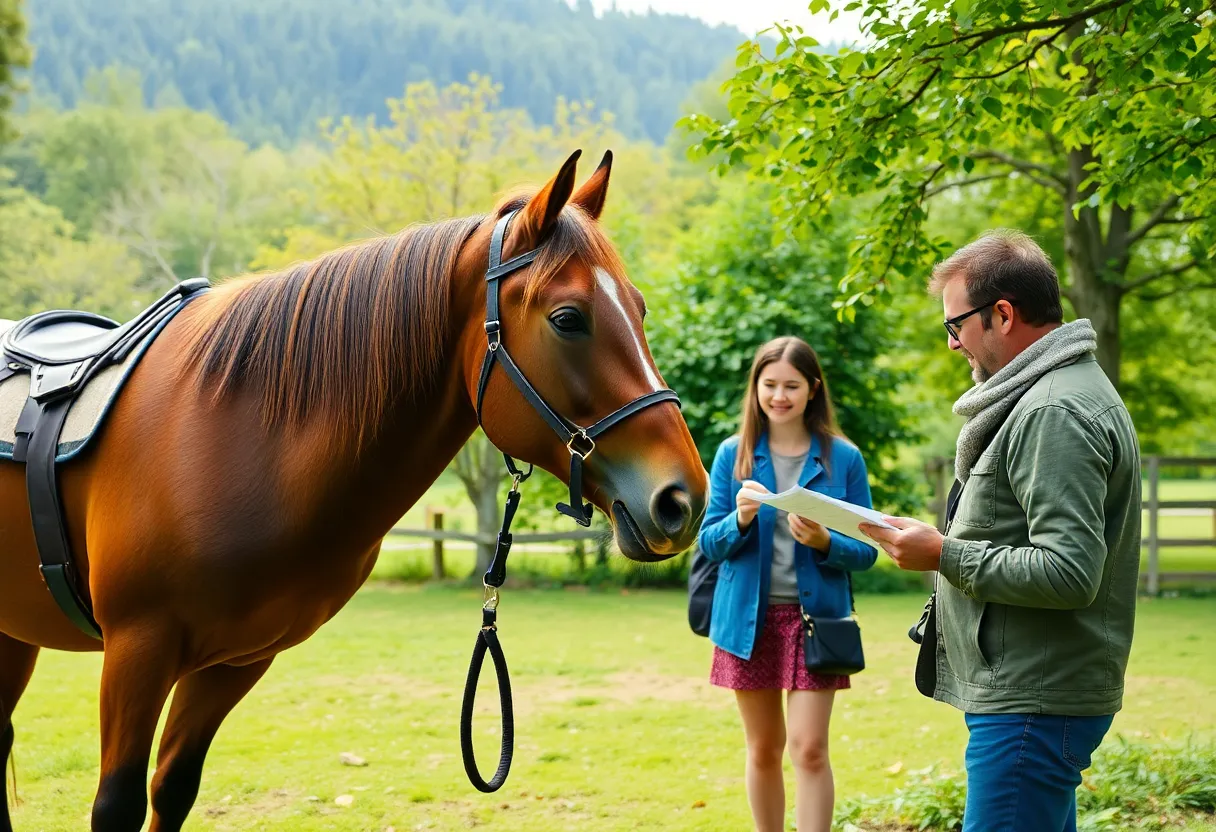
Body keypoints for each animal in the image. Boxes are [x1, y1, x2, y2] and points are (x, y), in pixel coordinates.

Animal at [0, 150, 708, 831]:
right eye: (567, 319)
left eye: (640, 308)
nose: (683, 499)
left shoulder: (231, 664)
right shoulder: (137, 651)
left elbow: (172, 791)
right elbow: (116, 806)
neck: (225, 435)